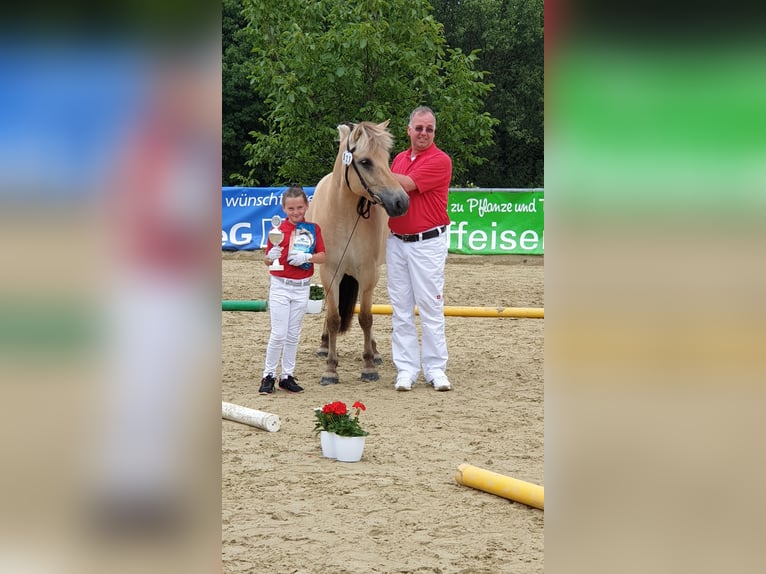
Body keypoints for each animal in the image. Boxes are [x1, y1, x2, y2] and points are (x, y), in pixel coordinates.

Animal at [308, 119, 412, 384]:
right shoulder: (329, 272)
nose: (401, 202)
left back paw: (374, 351)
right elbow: (333, 318)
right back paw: (324, 345)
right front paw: (330, 369)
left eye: (386, 158)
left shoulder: (367, 273)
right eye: (365, 161)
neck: (343, 215)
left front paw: (368, 365)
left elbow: (366, 317)